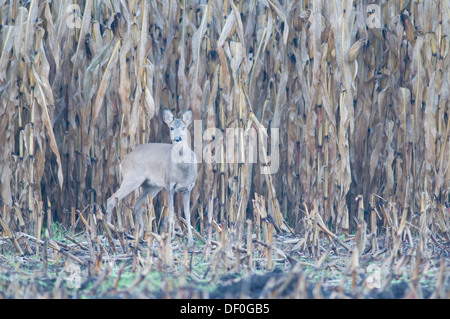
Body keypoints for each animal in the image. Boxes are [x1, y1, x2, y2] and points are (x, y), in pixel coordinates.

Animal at [106, 109, 198, 246]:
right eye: (171, 127)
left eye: (183, 127)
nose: (178, 138)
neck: (183, 171)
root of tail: (123, 160)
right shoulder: (169, 185)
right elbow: (171, 212)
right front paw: (170, 239)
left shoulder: (188, 188)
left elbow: (187, 214)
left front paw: (191, 241)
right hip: (132, 178)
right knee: (111, 200)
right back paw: (110, 234)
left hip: (151, 186)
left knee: (137, 205)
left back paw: (139, 237)